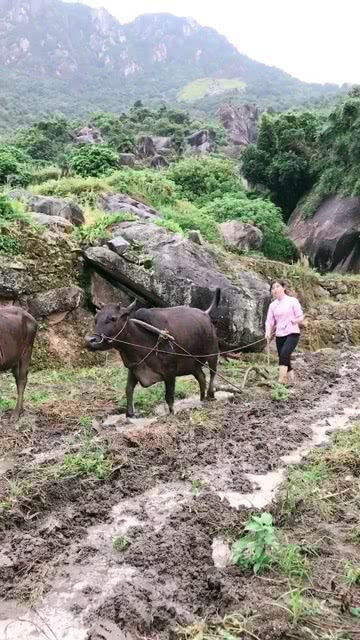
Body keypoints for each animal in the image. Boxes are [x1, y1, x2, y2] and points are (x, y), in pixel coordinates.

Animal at [86, 292, 221, 420]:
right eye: (96, 318)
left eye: (113, 318)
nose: (90, 341)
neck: (143, 340)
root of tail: (205, 313)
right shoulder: (134, 369)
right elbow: (128, 389)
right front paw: (129, 414)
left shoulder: (170, 373)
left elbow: (169, 397)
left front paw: (171, 413)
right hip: (193, 365)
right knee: (201, 377)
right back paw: (202, 399)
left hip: (213, 354)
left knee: (212, 373)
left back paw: (211, 394)